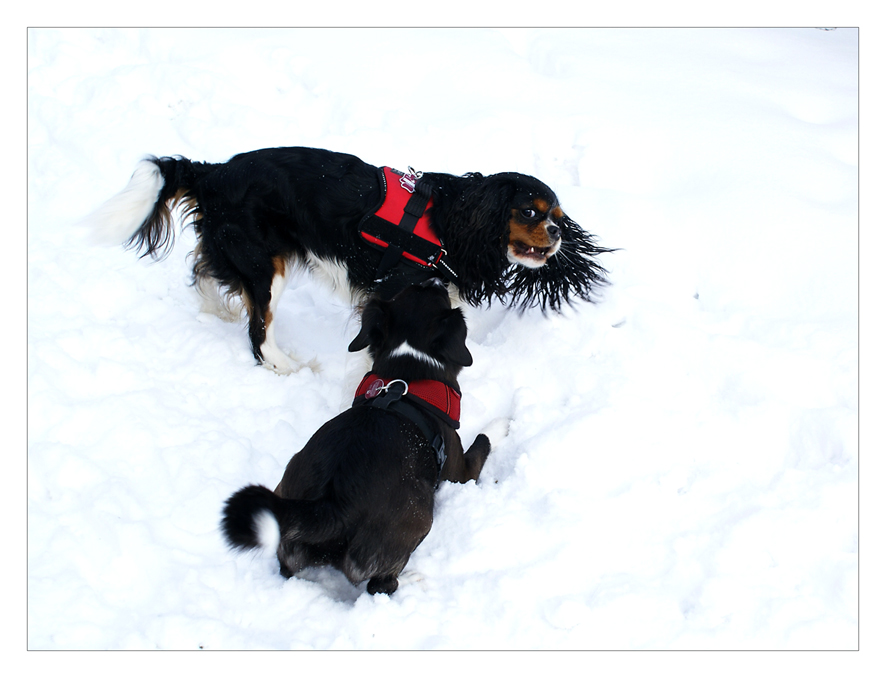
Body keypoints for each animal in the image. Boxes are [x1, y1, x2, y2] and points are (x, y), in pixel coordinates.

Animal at [90, 145, 612, 374]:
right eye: (530, 212)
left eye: (559, 217)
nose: (557, 234)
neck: (454, 222)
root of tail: (214, 172)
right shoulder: (391, 292)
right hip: (266, 266)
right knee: (259, 335)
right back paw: (288, 367)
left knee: (204, 272)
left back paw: (215, 311)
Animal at [219, 280, 502, 596]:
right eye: (440, 296)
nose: (435, 279)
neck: (407, 366)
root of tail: (331, 505)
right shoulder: (459, 471)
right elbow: (483, 441)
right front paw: (502, 424)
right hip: (418, 514)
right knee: (380, 586)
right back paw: (412, 579)